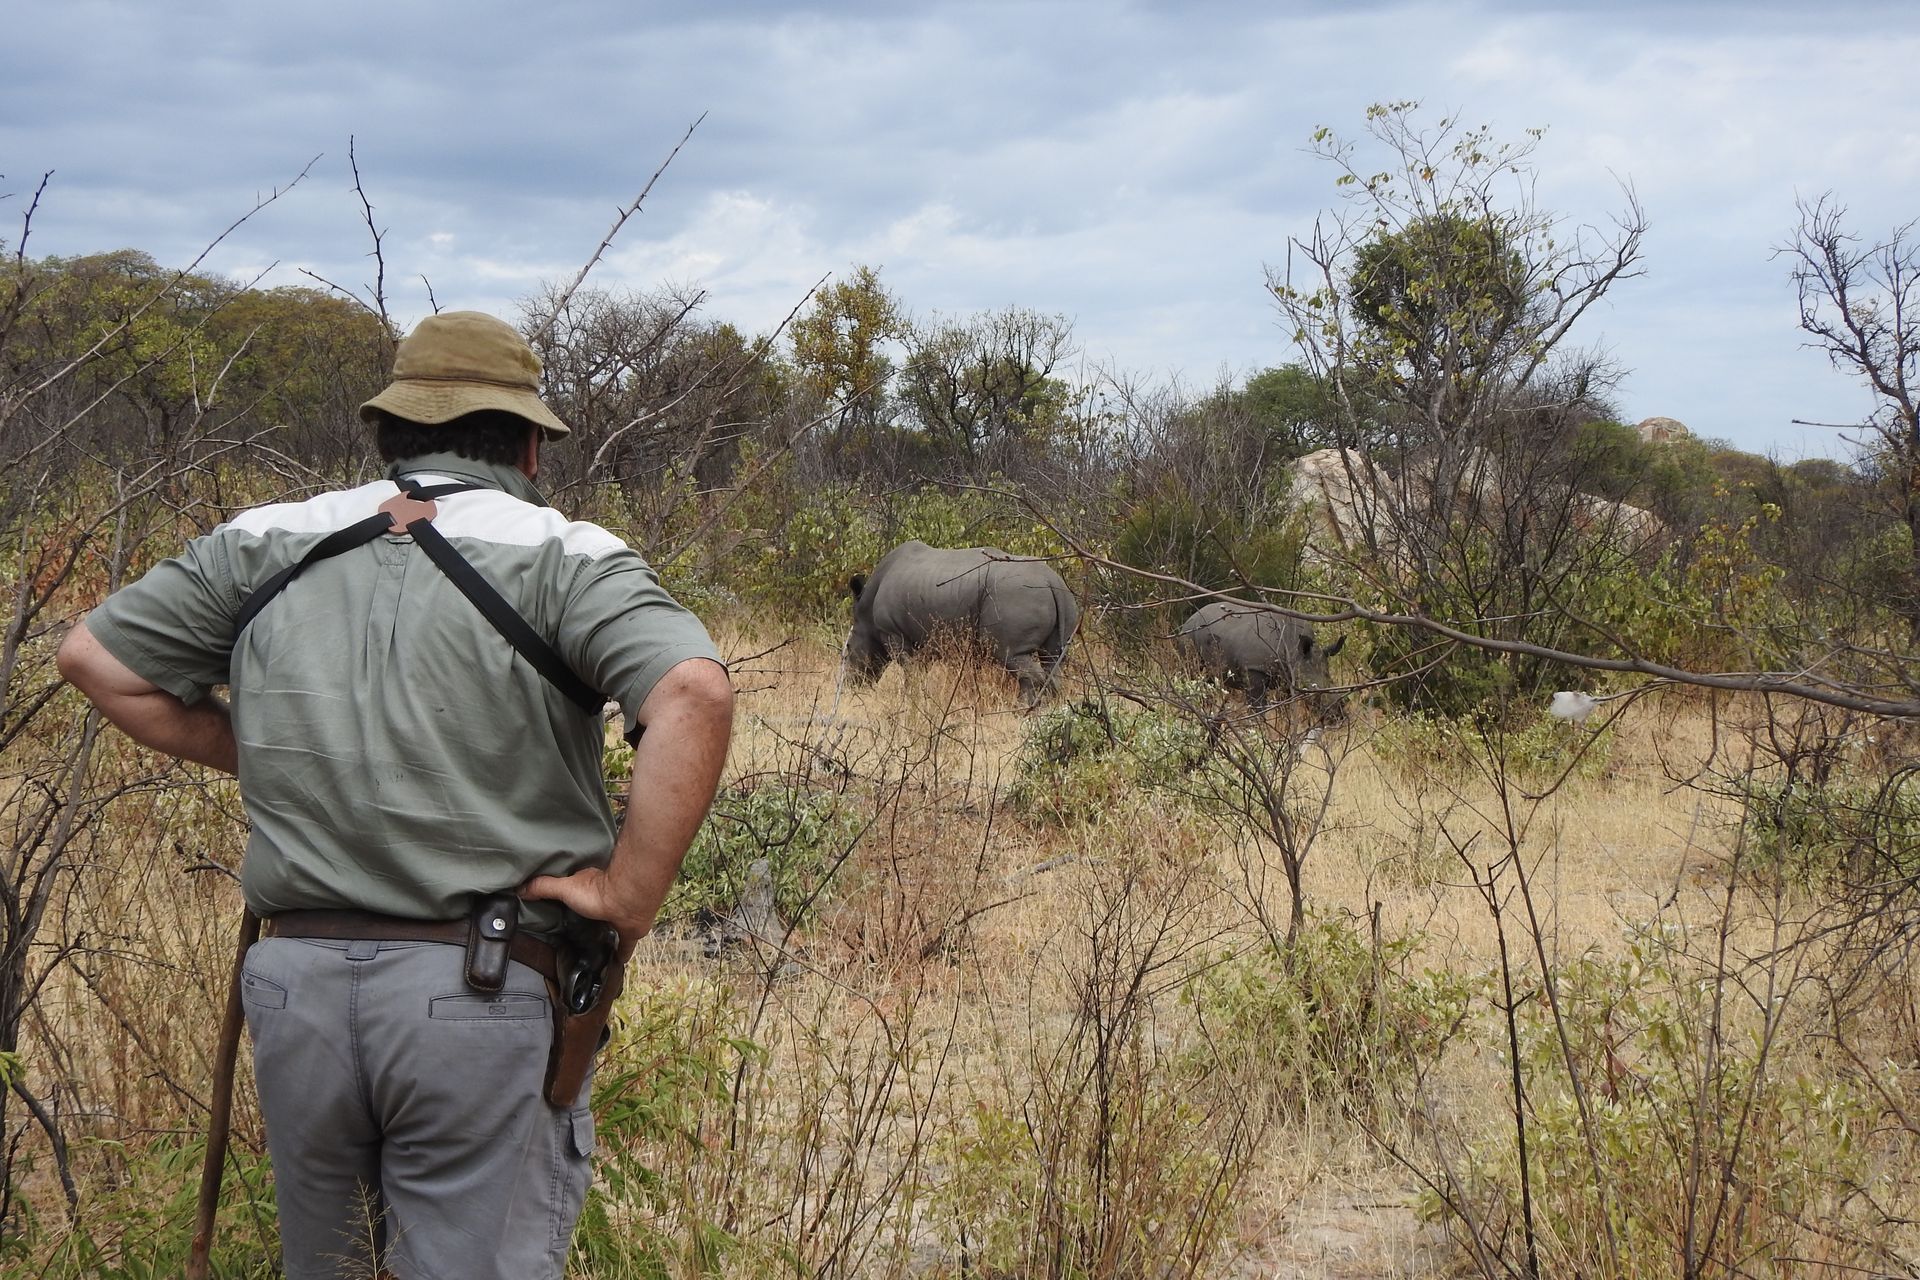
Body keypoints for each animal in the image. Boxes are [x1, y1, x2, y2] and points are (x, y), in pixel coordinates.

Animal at [846, 540, 1080, 707]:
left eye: (847, 648)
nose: (852, 684)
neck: (865, 610)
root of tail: (1051, 580)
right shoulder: (925, 638)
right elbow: (919, 671)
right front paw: (921, 700)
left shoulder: (894, 633)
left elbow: (909, 671)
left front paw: (909, 702)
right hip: (1062, 599)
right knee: (1053, 658)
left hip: (1017, 595)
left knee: (1012, 655)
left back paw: (1021, 709)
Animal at [1175, 600, 1346, 711]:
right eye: (1314, 690)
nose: (1339, 715)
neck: (1294, 651)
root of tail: (1190, 618)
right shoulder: (1254, 668)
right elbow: (1258, 707)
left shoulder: (1287, 677)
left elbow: (1286, 709)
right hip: (1189, 635)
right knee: (1194, 674)